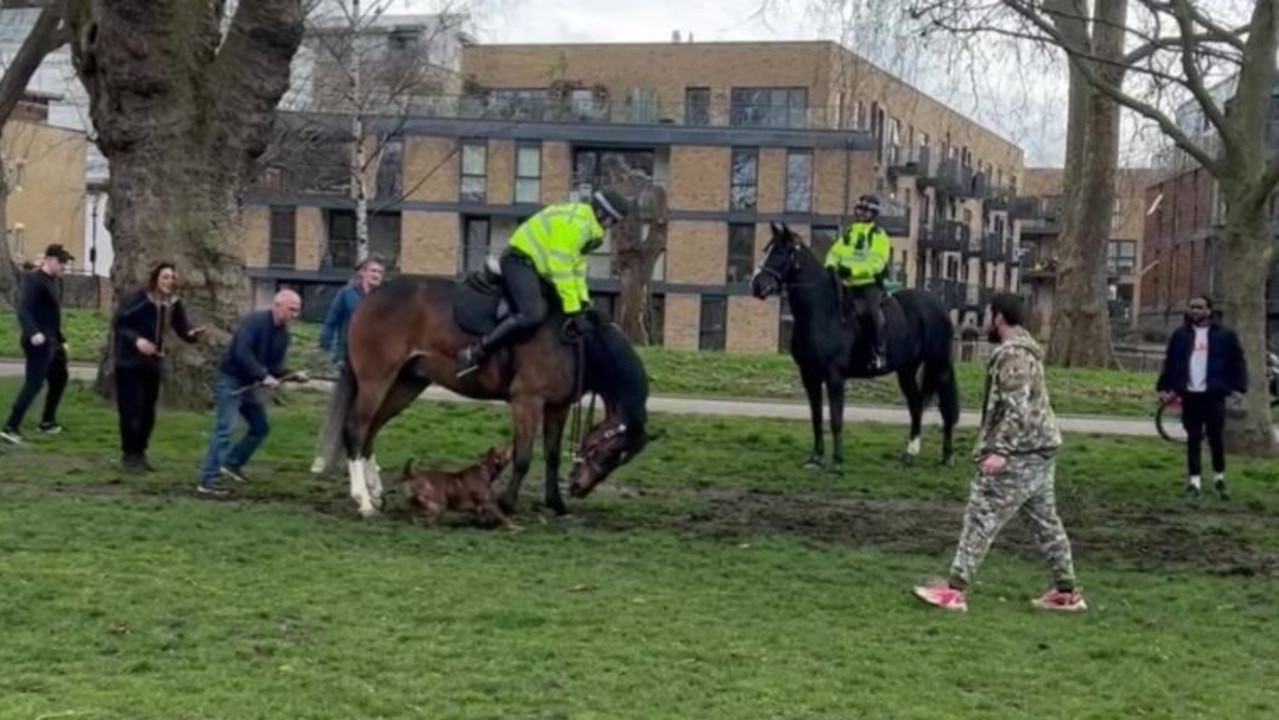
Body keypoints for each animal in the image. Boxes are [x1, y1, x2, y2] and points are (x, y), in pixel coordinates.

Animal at [324, 272, 654, 519]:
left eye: (620, 458)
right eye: (610, 451)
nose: (579, 488)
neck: (577, 343)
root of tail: (369, 297)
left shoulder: (557, 407)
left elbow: (551, 455)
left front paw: (556, 503)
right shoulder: (527, 401)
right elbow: (522, 457)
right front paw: (506, 503)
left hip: (406, 384)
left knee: (371, 430)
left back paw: (376, 493)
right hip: (376, 379)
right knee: (356, 429)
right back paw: (363, 501)